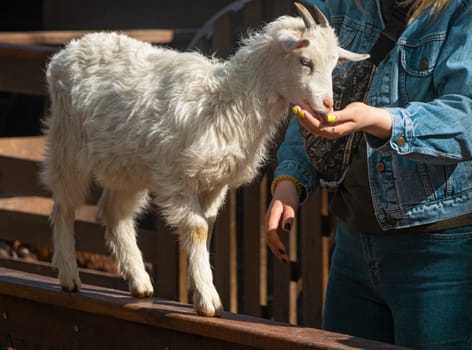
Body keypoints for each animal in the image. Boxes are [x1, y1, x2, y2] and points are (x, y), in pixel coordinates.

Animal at [41, 2, 368, 316]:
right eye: (304, 61)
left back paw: (139, 281)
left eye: (334, 64)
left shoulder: (215, 181)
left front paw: (199, 289)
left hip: (127, 166)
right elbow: (197, 229)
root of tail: (69, 50)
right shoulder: (179, 177)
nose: (327, 105)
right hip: (67, 145)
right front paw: (209, 300)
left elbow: (207, 227)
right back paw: (69, 275)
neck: (225, 100)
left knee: (114, 213)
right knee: (64, 207)